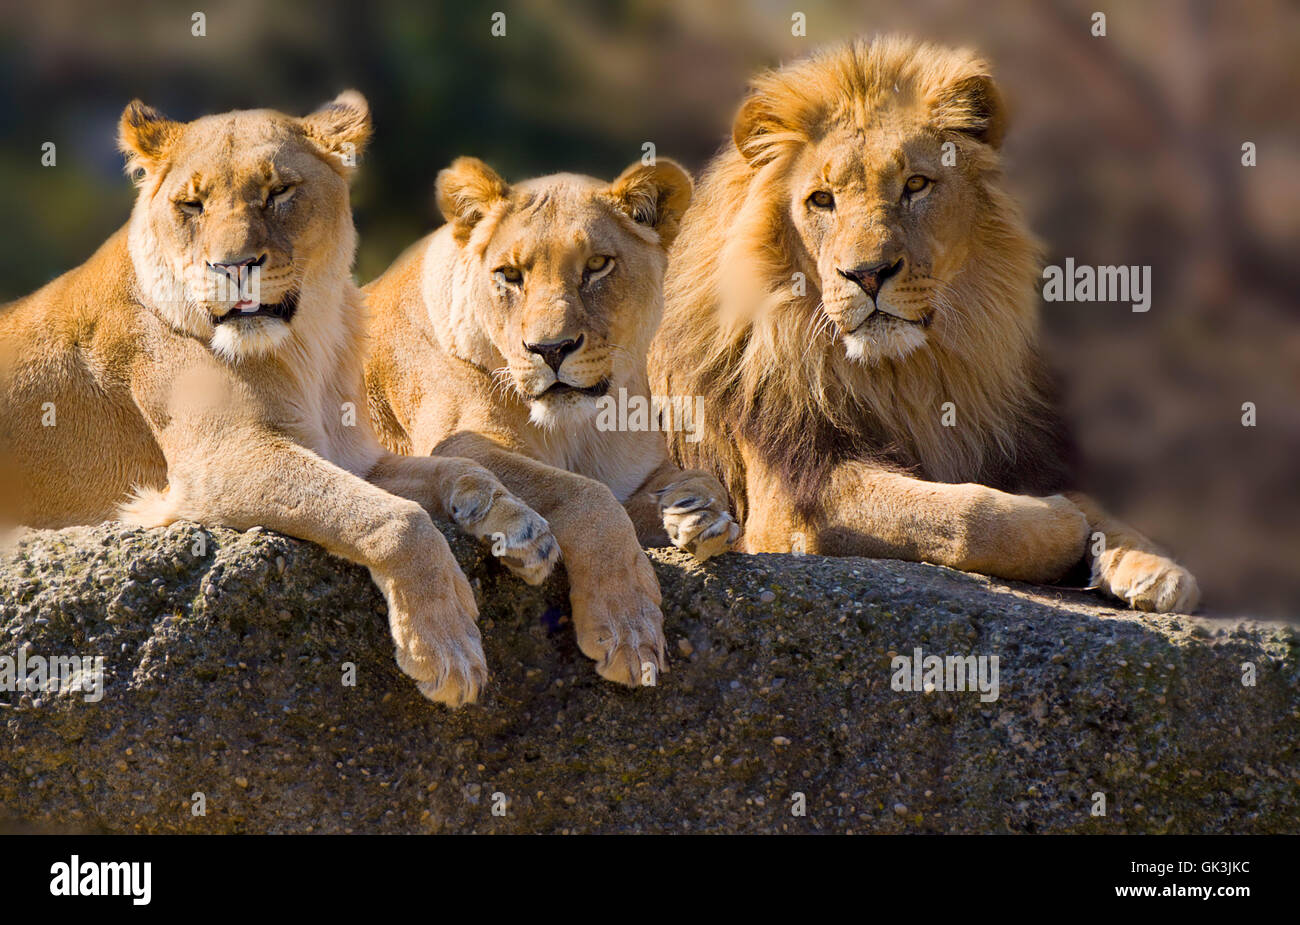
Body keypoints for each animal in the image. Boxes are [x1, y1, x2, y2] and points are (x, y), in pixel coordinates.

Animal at [0, 92, 561, 706]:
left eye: (278, 192)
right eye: (191, 205)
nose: (232, 267)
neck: (303, 346)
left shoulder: (352, 456)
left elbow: (458, 469)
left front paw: (521, 527)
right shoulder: (220, 463)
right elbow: (395, 519)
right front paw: (446, 647)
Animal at [366, 155, 738, 680]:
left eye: (597, 265)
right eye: (509, 274)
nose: (551, 349)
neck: (575, 429)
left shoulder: (637, 472)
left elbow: (701, 477)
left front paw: (699, 513)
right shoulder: (461, 443)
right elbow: (584, 494)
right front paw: (626, 624)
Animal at [650, 38, 1196, 613]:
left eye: (915, 185)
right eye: (821, 199)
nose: (868, 273)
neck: (907, 373)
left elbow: (1099, 508)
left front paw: (1155, 567)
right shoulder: (794, 504)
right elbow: (960, 515)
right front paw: (1062, 526)